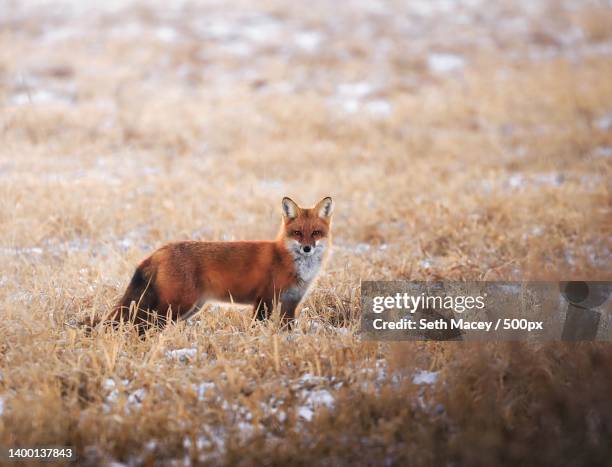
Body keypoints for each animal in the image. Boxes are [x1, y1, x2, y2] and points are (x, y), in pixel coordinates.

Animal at [105, 197, 334, 332]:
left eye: (316, 233)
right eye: (297, 233)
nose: (307, 248)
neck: (285, 259)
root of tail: (160, 250)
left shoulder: (290, 303)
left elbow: (287, 331)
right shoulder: (264, 300)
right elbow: (257, 329)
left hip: (190, 307)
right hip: (177, 304)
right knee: (147, 324)